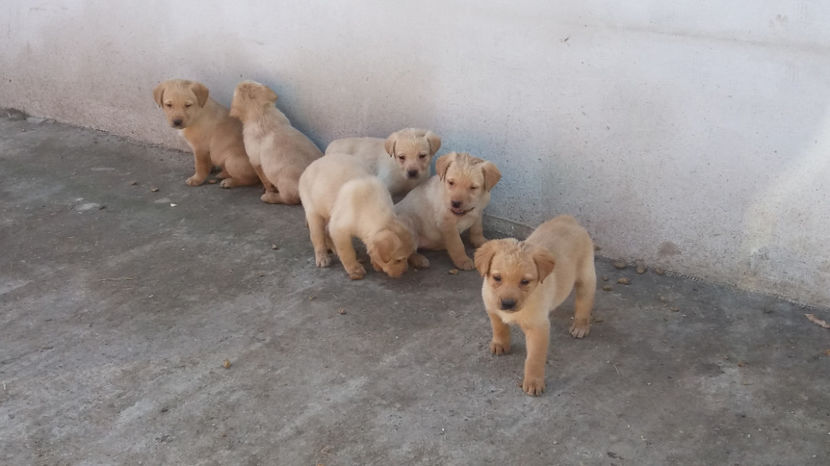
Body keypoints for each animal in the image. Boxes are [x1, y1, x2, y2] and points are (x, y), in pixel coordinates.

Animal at [474, 217, 600, 396]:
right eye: (497, 278)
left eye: (525, 282)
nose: (507, 303)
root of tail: (568, 219)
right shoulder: (493, 310)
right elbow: (499, 327)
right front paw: (500, 344)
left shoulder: (538, 328)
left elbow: (534, 359)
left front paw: (533, 382)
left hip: (586, 276)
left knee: (584, 302)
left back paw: (580, 326)